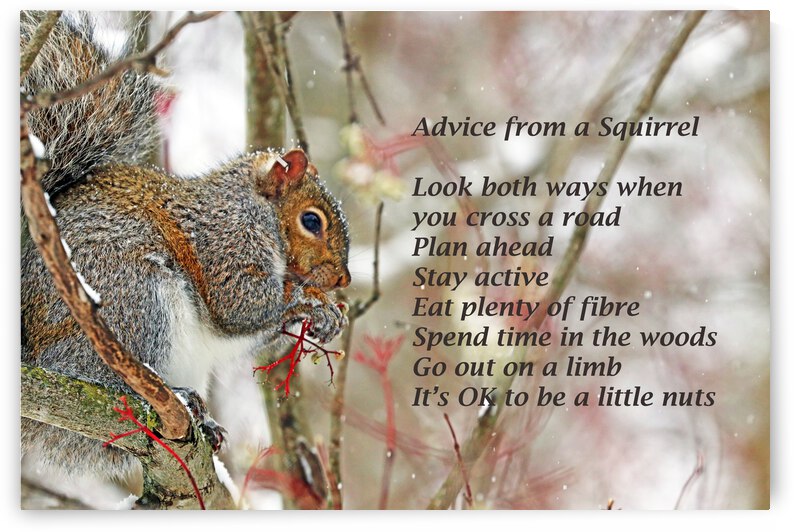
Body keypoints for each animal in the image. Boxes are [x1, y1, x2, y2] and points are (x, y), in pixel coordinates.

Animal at [20, 12, 351, 487]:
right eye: (312, 221)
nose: (343, 278)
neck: (253, 208)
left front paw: (330, 315)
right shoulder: (225, 242)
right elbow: (241, 305)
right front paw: (312, 302)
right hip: (135, 301)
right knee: (104, 381)